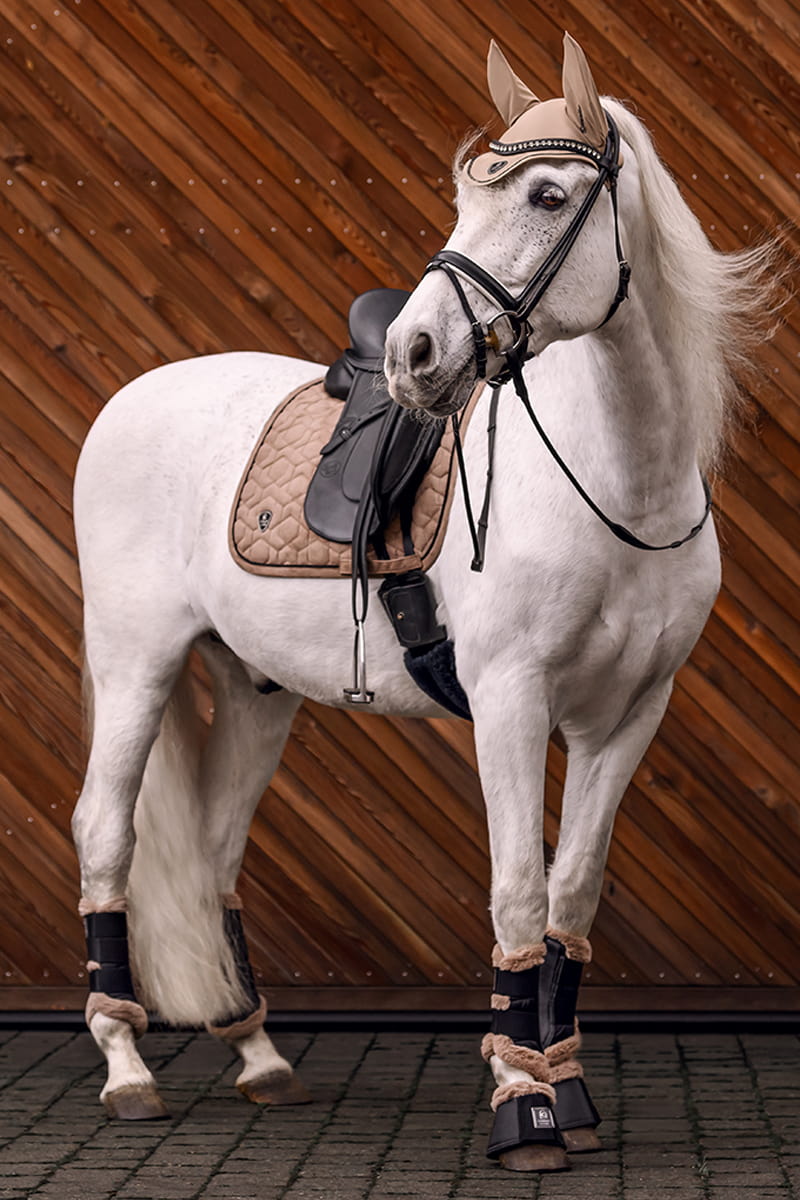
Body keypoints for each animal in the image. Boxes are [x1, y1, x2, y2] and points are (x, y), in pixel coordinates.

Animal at [71, 33, 775, 1174]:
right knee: (104, 832)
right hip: (134, 662)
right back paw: (127, 1069)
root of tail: (133, 398)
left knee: (215, 851)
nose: (414, 355)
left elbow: (573, 893)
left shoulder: (629, 716)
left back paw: (260, 1057)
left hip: (254, 688)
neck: (615, 485)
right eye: (464, 195)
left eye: (545, 193)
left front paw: (566, 1091)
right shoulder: (510, 702)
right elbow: (518, 886)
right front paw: (522, 1107)